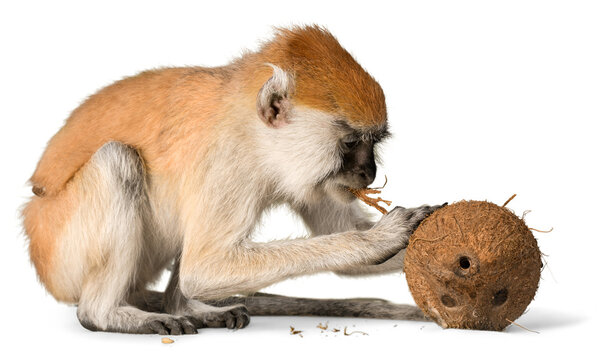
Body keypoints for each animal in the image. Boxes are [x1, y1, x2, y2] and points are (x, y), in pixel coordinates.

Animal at [21, 25, 442, 334]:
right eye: (352, 143)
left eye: (374, 143)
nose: (368, 172)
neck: (252, 129)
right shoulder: (227, 163)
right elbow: (205, 268)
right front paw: (379, 238)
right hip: (58, 249)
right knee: (116, 160)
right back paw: (107, 315)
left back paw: (187, 308)